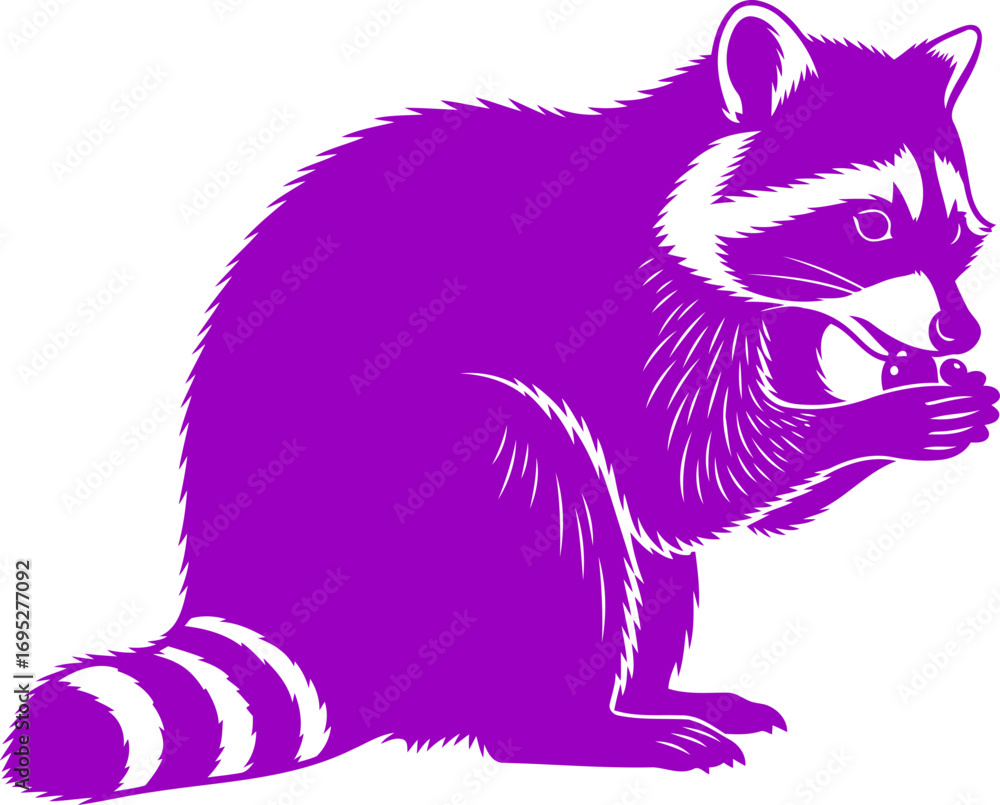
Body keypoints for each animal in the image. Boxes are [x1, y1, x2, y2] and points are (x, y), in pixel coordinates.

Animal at [6, 1, 998, 798]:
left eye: (961, 234)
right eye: (872, 225)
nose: (957, 334)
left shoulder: (770, 321)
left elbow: (707, 502)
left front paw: (900, 382)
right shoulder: (613, 304)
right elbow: (687, 478)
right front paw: (887, 417)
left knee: (641, 557)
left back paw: (646, 693)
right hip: (412, 511)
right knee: (530, 471)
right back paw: (572, 726)